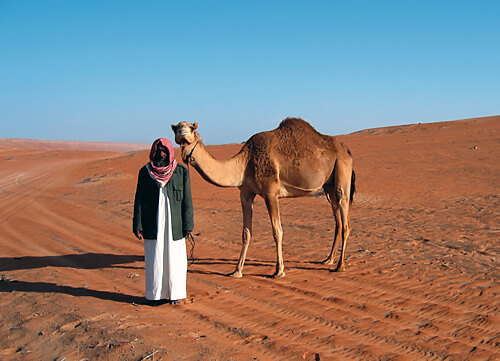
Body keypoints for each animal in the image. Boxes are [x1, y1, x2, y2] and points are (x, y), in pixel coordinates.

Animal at [172, 116, 356, 278]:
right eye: (177, 127)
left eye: (191, 127)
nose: (182, 132)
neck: (244, 163)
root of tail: (346, 150)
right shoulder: (245, 194)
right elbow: (246, 233)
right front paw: (237, 271)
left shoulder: (270, 192)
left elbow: (277, 231)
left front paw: (279, 271)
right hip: (329, 186)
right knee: (338, 220)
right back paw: (328, 259)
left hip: (341, 172)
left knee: (345, 218)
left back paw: (340, 266)